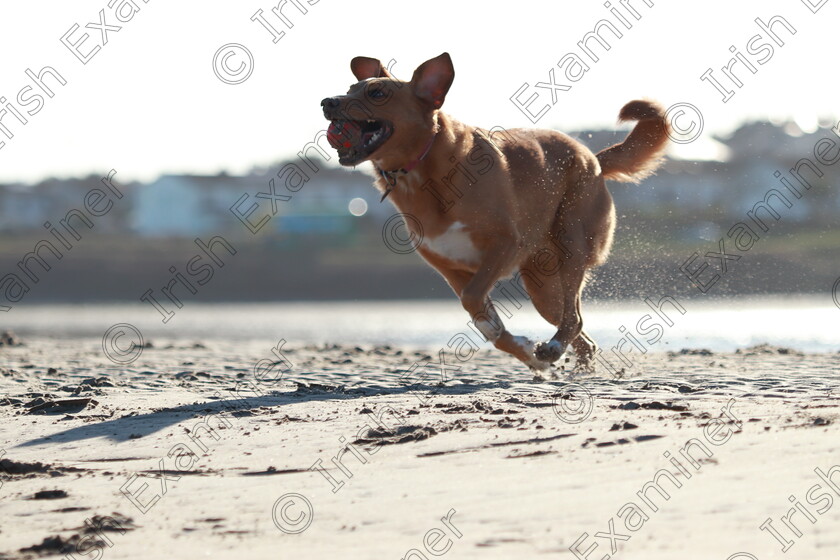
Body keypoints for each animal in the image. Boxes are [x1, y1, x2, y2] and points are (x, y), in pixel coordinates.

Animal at [322, 53, 668, 372]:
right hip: (542, 288)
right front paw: (525, 353)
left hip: (571, 243)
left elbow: (475, 300)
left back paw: (556, 347)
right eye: (351, 88)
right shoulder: (450, 270)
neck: (423, 172)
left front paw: (517, 344)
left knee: (574, 316)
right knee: (581, 332)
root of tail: (593, 158)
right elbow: (481, 316)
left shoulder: (504, 244)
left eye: (377, 93)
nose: (327, 101)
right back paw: (568, 362)